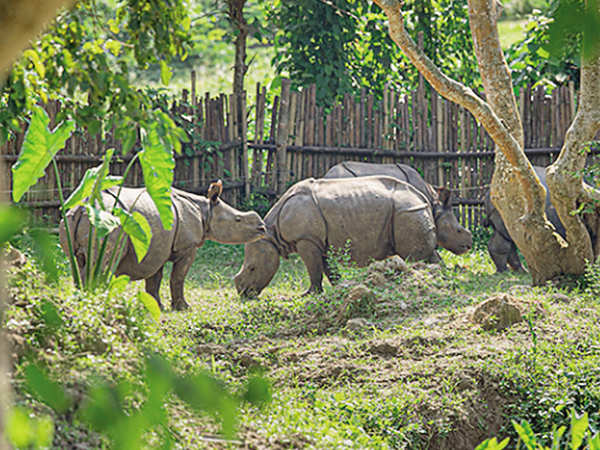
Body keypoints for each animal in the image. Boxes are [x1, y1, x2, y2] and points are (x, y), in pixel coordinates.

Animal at [61, 179, 264, 310]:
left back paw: (83, 301)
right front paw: (183, 308)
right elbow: (178, 276)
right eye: (238, 220)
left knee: (77, 263)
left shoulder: (158, 246)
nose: (262, 228)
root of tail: (82, 207)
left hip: (71, 219)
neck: (205, 210)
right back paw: (99, 302)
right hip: (105, 222)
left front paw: (156, 306)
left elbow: (155, 278)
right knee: (102, 265)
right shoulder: (188, 246)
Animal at [234, 177, 436, 298]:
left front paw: (309, 294)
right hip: (409, 211)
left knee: (413, 255)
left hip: (406, 211)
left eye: (252, 268)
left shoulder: (306, 239)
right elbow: (327, 268)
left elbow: (314, 269)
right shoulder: (318, 242)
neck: (272, 232)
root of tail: (422, 196)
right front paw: (341, 287)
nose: (243, 294)